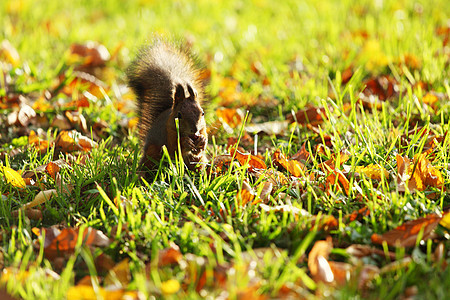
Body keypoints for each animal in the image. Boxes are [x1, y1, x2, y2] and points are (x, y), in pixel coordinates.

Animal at [126, 39, 207, 171]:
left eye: (203, 113)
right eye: (179, 115)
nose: (194, 129)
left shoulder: (203, 129)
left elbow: (202, 145)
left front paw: (202, 141)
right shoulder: (168, 133)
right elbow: (174, 148)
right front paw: (185, 142)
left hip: (199, 162)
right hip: (152, 153)